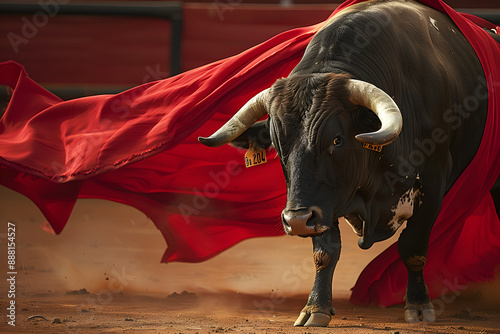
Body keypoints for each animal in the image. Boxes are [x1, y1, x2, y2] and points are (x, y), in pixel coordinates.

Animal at [199, 0, 500, 328]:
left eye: (337, 140)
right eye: (278, 146)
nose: (295, 220)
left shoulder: (432, 185)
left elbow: (413, 248)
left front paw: (419, 307)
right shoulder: (323, 203)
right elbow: (325, 252)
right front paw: (315, 308)